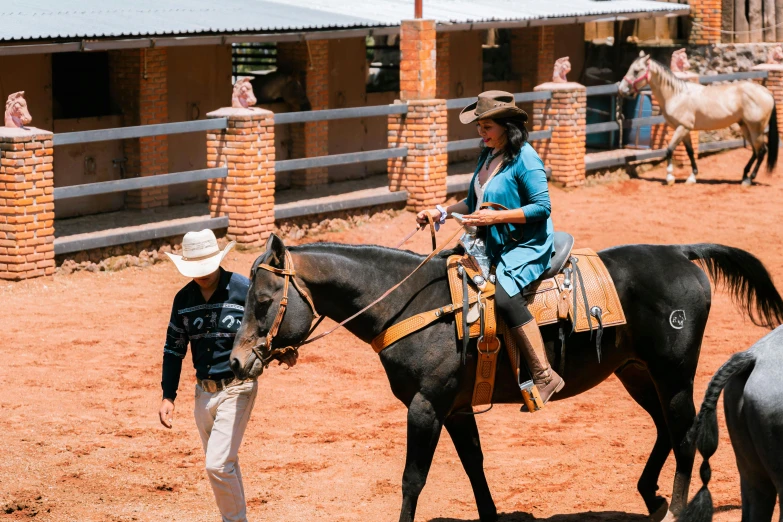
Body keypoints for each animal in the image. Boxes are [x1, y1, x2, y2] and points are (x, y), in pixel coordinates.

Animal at [230, 236, 783, 520]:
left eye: (263, 302)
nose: (235, 363)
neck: (411, 304)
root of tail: (680, 252)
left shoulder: (426, 407)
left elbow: (412, 479)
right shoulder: (454, 409)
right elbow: (474, 466)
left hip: (674, 374)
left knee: (685, 437)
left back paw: (674, 507)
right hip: (636, 373)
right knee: (666, 430)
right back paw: (652, 495)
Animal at [620, 51, 776, 186]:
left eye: (636, 71)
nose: (621, 89)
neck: (677, 95)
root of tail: (766, 92)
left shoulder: (682, 128)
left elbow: (669, 150)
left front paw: (670, 177)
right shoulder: (685, 130)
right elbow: (690, 152)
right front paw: (692, 177)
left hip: (756, 129)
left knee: (762, 151)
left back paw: (749, 179)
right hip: (746, 127)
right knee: (755, 151)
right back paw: (744, 175)